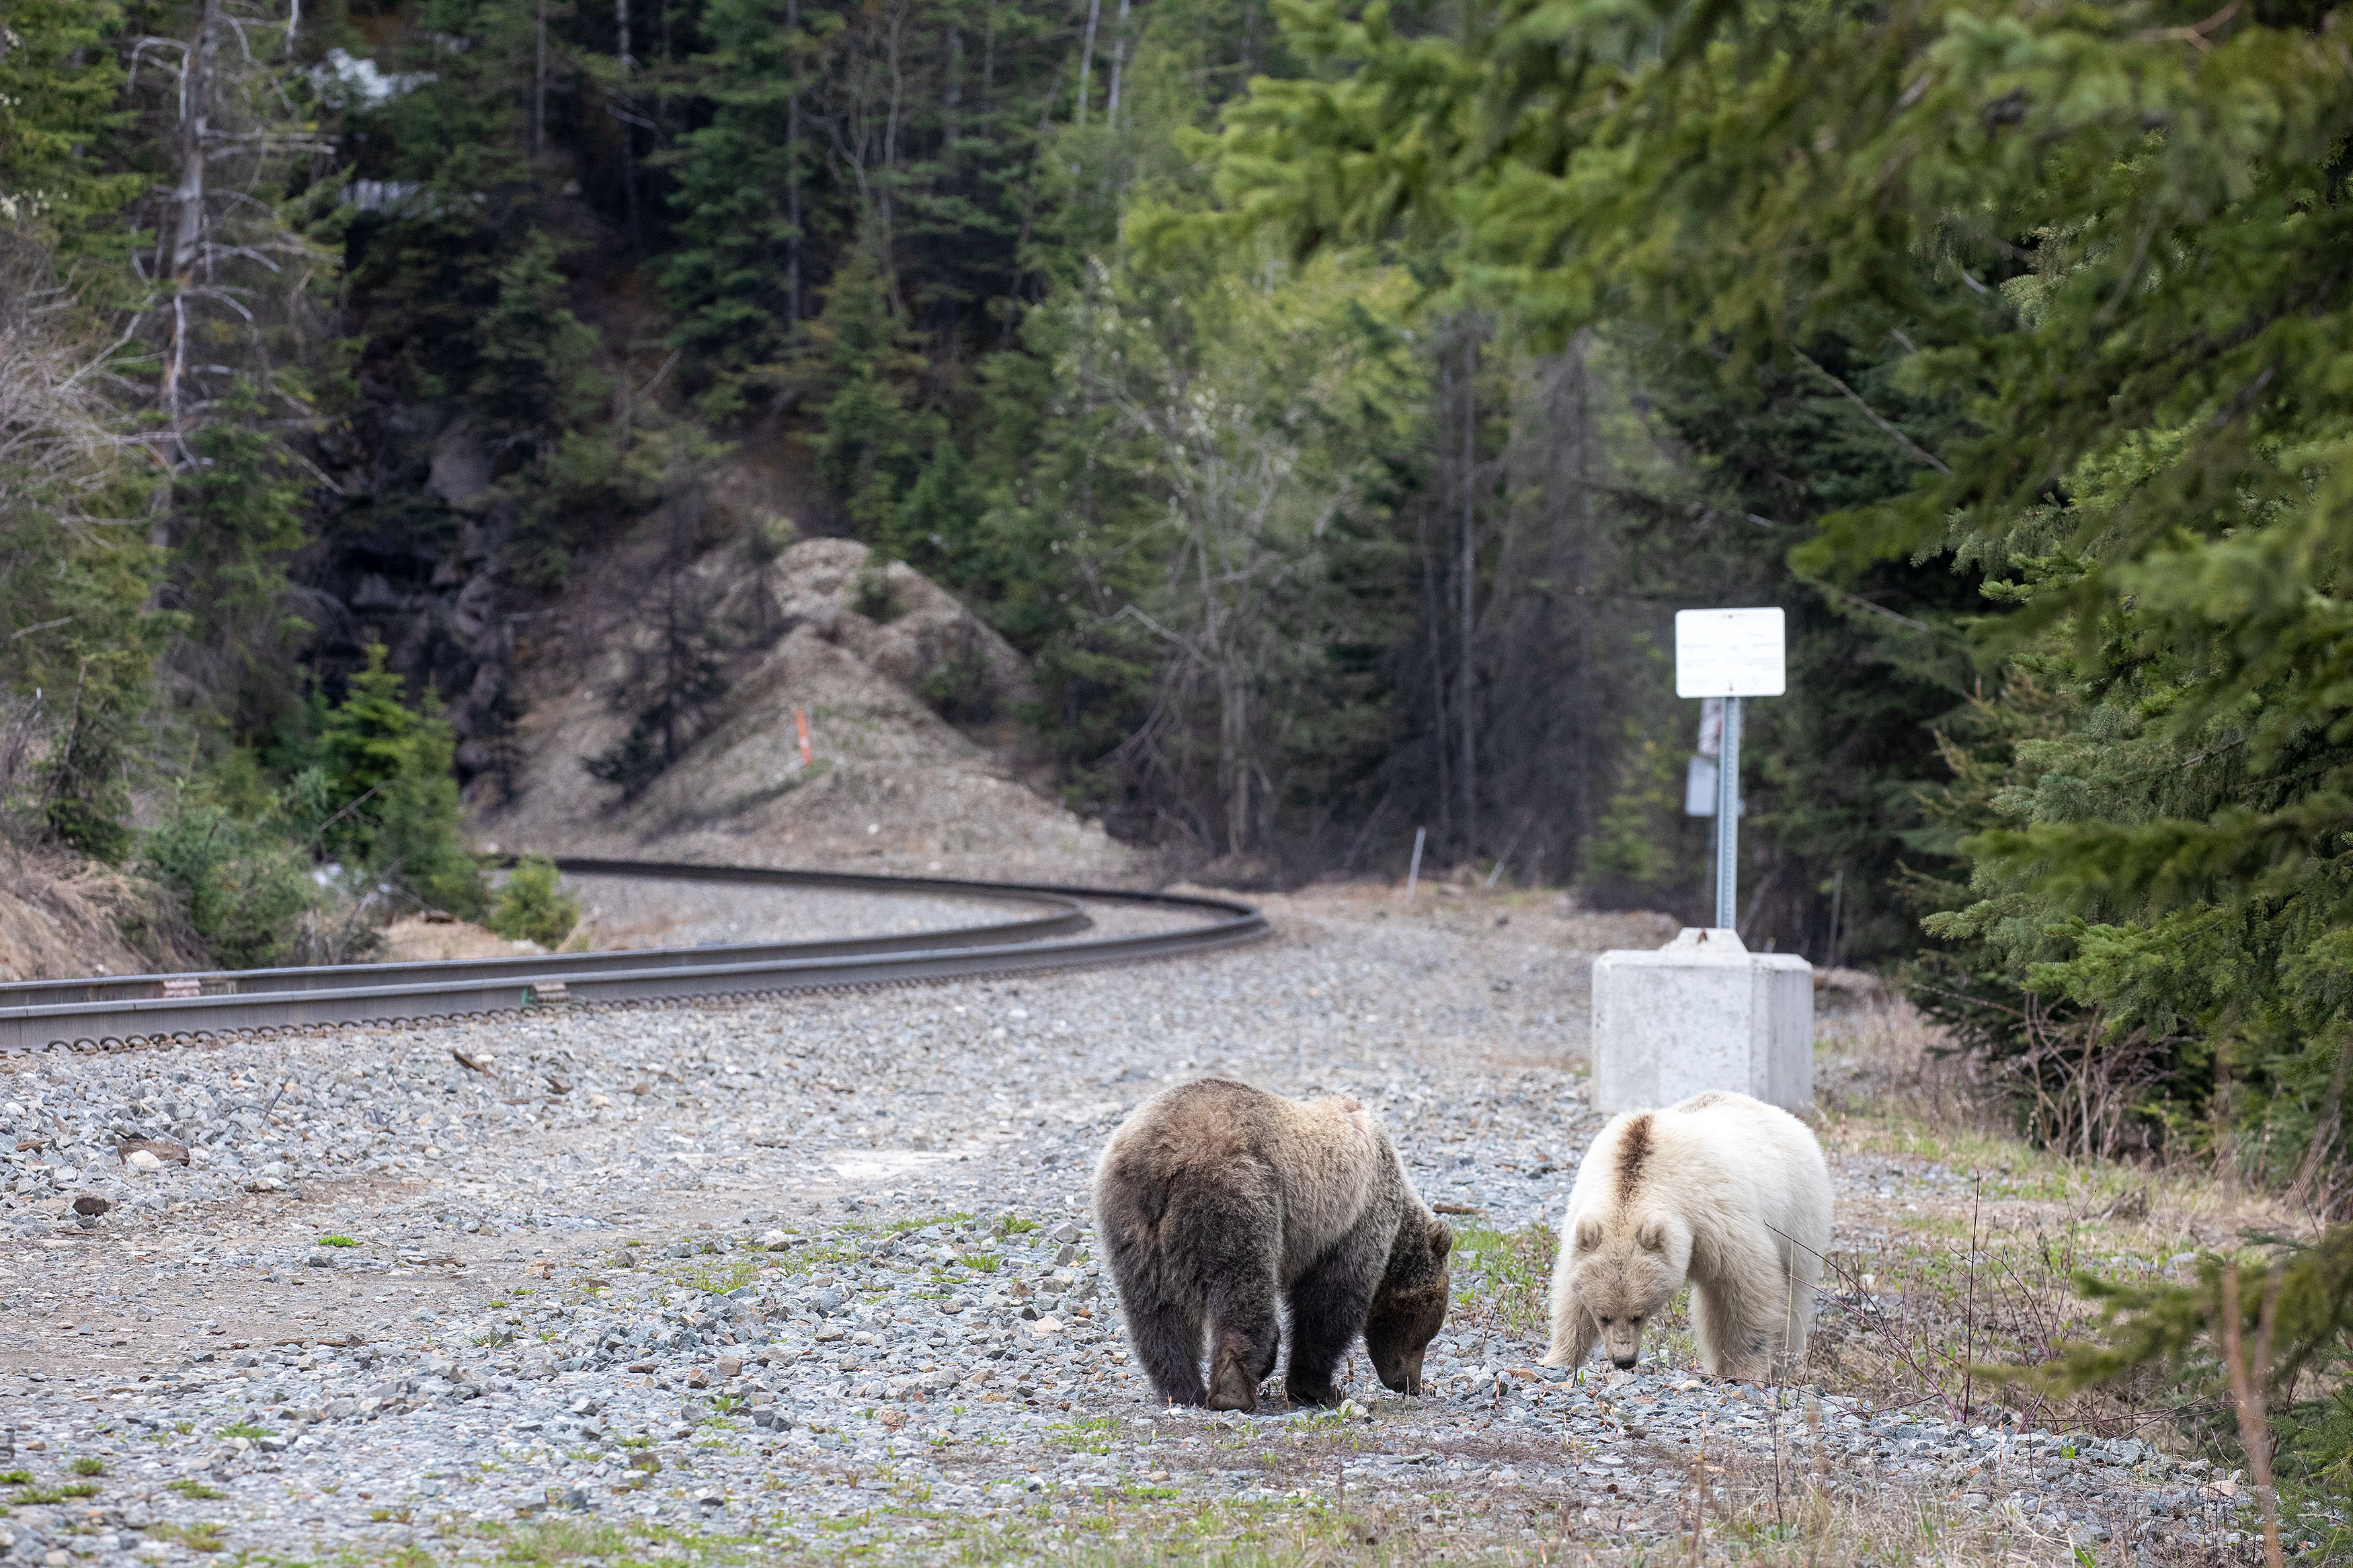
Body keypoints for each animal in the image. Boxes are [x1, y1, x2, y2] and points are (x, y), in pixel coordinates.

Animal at [1092, 1077, 1453, 1411]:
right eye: (1428, 1331)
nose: (1410, 1383)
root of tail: (1161, 1158)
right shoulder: (1353, 1221)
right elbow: (1329, 1304)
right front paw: (1319, 1389)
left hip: (1130, 1226)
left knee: (1154, 1310)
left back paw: (1183, 1390)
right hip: (1240, 1195)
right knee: (1243, 1286)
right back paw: (1232, 1387)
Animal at [1541, 1089, 1831, 1382]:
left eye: (1638, 1315)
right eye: (1604, 1316)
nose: (1624, 1360)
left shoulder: (1715, 1217)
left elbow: (1749, 1284)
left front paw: (1747, 1371)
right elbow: (1570, 1295)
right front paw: (1557, 1359)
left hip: (1798, 1213)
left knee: (1792, 1293)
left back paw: (1779, 1364)